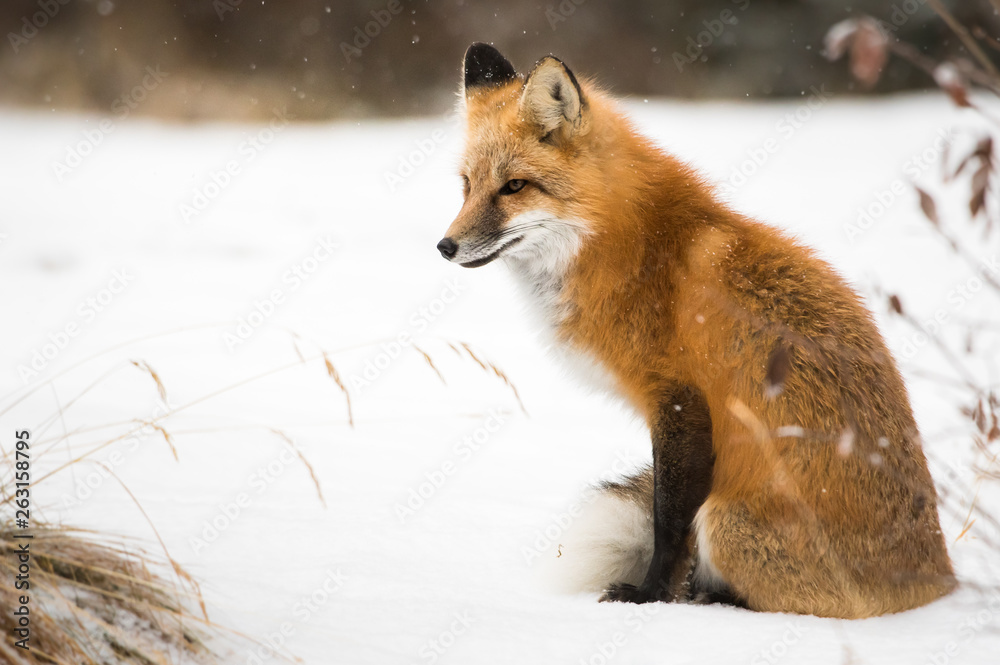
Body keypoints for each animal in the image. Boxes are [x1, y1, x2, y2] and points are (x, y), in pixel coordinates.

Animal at [436, 43, 957, 618]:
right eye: (466, 186)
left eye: (514, 186)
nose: (445, 247)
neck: (625, 246)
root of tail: (942, 582)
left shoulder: (680, 400)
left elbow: (668, 524)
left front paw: (650, 598)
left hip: (726, 522)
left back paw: (711, 599)